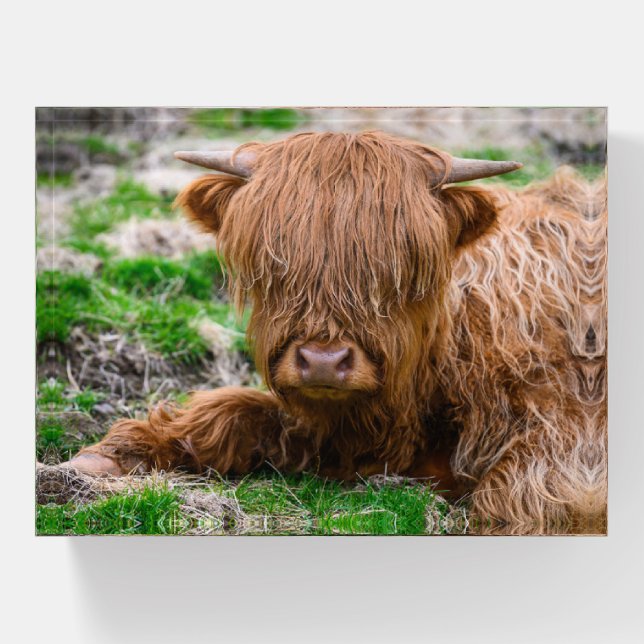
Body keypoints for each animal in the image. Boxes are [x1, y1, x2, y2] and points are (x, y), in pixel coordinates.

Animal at [67, 131, 607, 534]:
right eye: (275, 267)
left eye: (399, 271)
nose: (323, 363)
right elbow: (230, 410)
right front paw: (108, 458)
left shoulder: (565, 441)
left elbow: (516, 497)